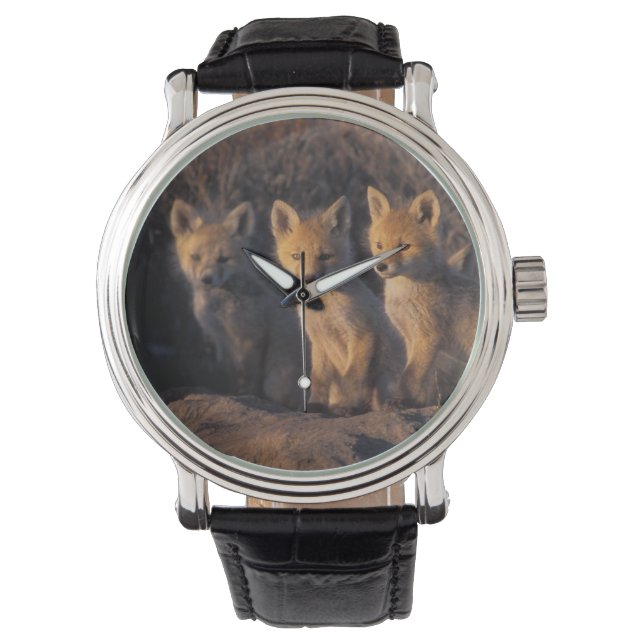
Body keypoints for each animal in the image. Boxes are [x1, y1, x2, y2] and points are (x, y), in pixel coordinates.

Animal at [170, 198, 300, 408]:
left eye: (224, 259)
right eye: (195, 257)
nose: (206, 279)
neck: (221, 311)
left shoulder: (251, 338)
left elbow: (248, 378)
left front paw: (247, 396)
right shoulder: (221, 340)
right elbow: (229, 373)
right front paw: (229, 393)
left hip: (277, 378)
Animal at [271, 196, 403, 415]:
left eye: (325, 256)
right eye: (297, 256)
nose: (309, 279)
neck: (324, 312)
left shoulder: (361, 334)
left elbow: (350, 379)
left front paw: (345, 406)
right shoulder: (318, 341)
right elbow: (319, 379)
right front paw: (315, 404)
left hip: (386, 377)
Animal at [367, 186, 479, 407]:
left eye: (405, 246)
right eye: (379, 245)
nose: (381, 267)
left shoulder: (427, 336)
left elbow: (409, 377)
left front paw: (401, 400)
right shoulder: (410, 337)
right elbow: (419, 379)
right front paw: (416, 402)